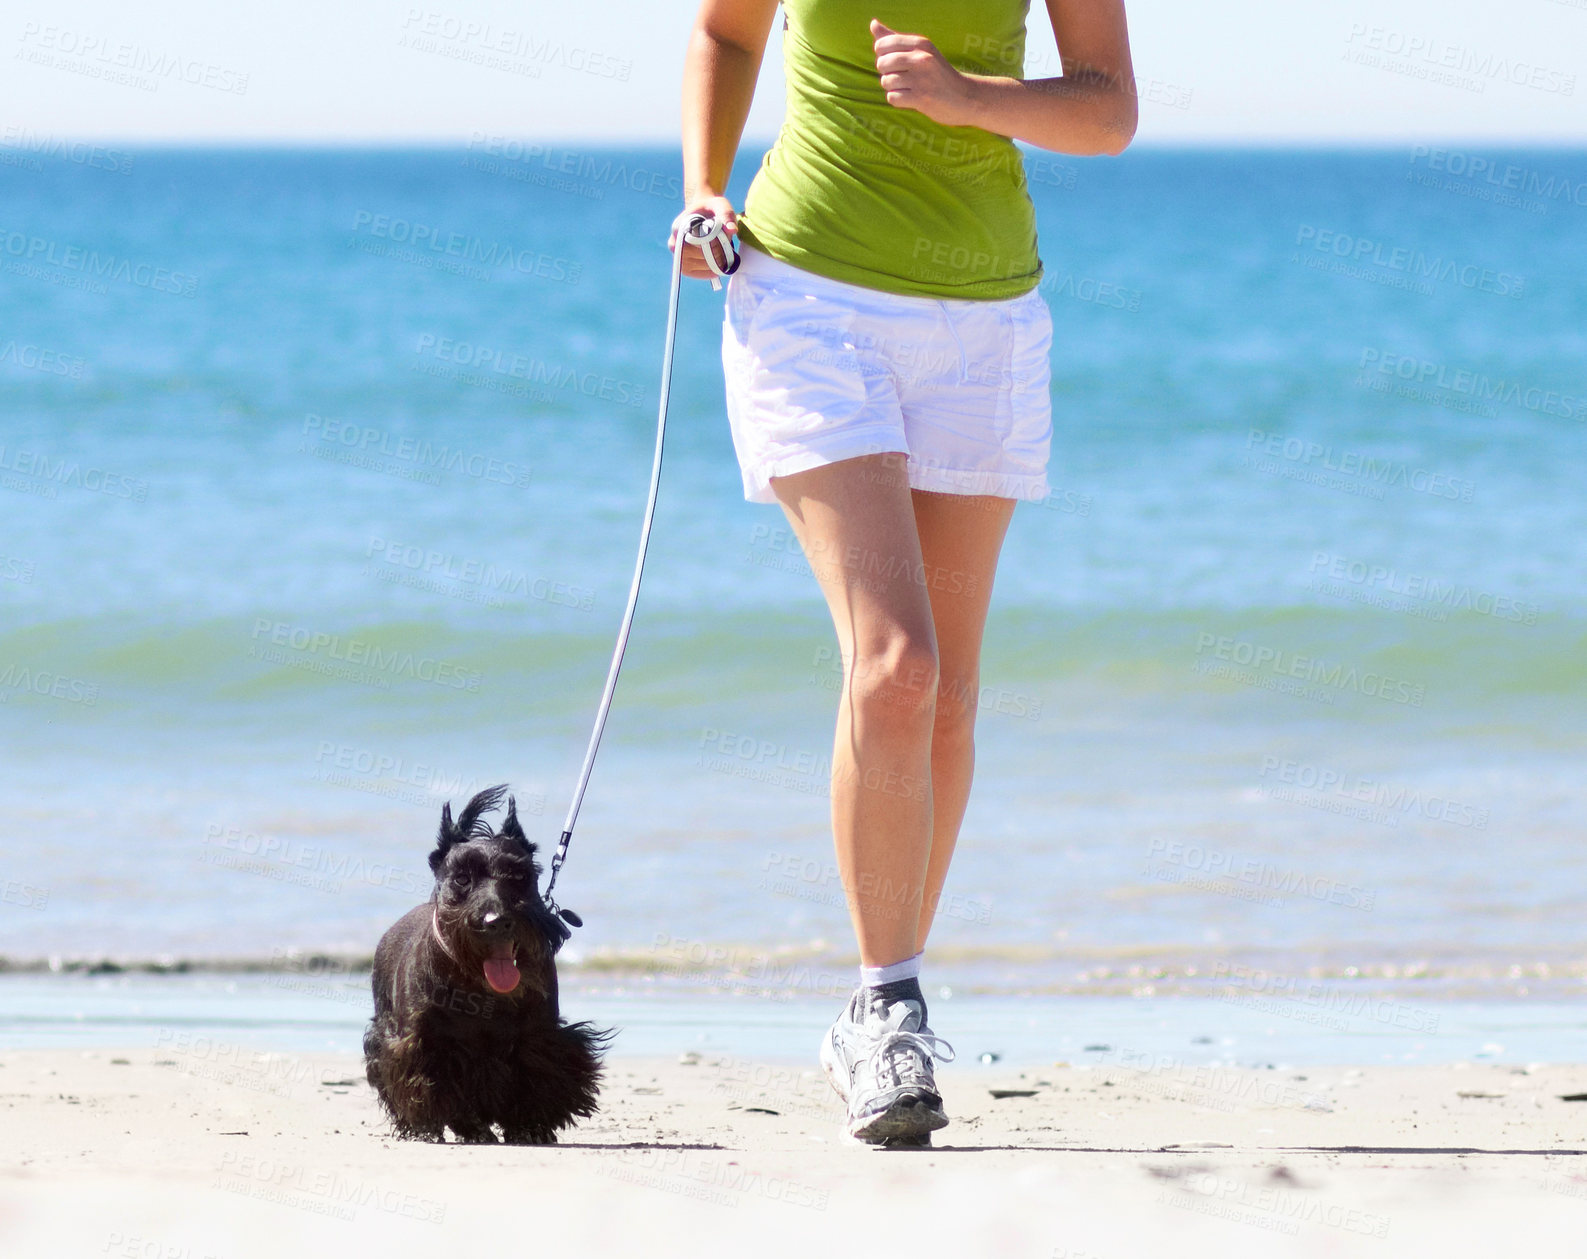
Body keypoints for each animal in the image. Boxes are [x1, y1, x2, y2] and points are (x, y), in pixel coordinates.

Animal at [365, 787, 606, 1136]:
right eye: (462, 878)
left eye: (520, 874)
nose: (497, 921)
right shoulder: (422, 1041)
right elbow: (430, 1084)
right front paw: (439, 1123)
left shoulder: (539, 1036)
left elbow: (536, 1075)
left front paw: (530, 1126)